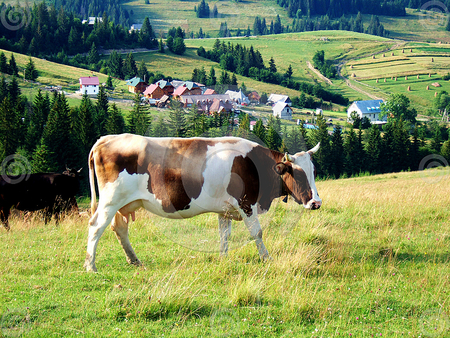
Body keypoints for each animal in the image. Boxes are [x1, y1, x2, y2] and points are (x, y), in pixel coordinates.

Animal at [84, 134, 322, 272]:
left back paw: (134, 260)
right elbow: (257, 232)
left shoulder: (225, 209)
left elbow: (224, 234)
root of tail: (105, 139)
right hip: (110, 200)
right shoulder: (246, 204)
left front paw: (224, 258)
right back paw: (90, 265)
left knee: (119, 228)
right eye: (298, 174)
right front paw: (266, 258)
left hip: (121, 204)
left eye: (314, 171)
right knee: (96, 227)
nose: (316, 203)